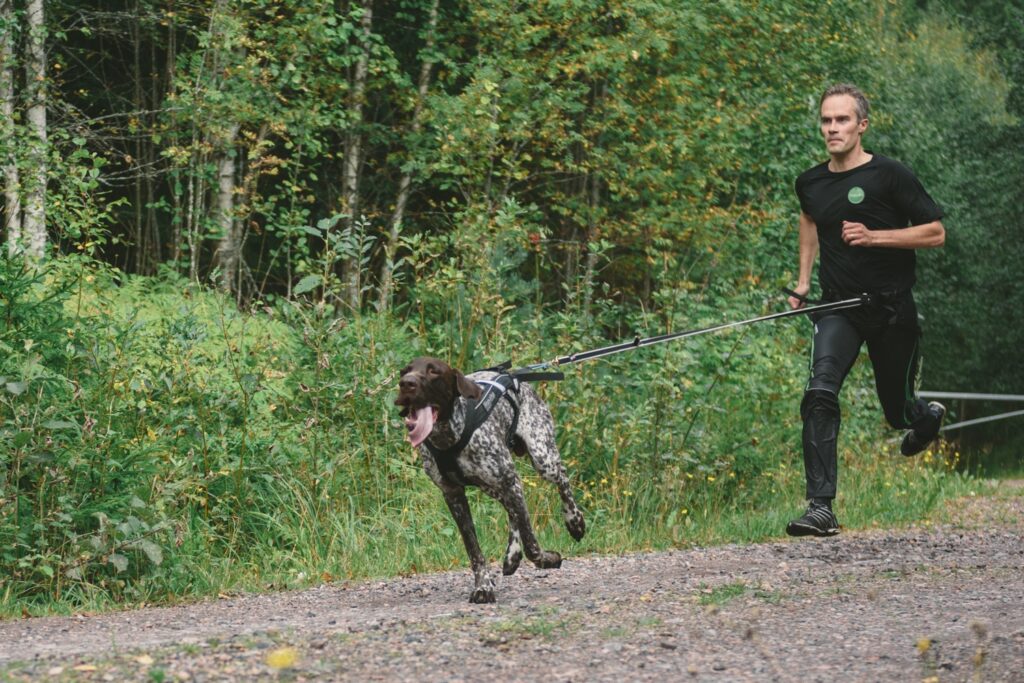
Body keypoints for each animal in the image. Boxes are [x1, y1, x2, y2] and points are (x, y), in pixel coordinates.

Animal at [391, 358, 585, 602]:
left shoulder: (509, 481)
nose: (406, 383)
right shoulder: (453, 495)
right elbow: (473, 549)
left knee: (562, 478)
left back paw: (574, 521)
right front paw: (483, 585)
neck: (449, 436)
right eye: (404, 371)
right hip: (496, 485)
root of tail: (516, 378)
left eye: (434, 371)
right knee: (513, 512)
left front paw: (548, 559)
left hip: (542, 459)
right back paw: (512, 555)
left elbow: (532, 544)